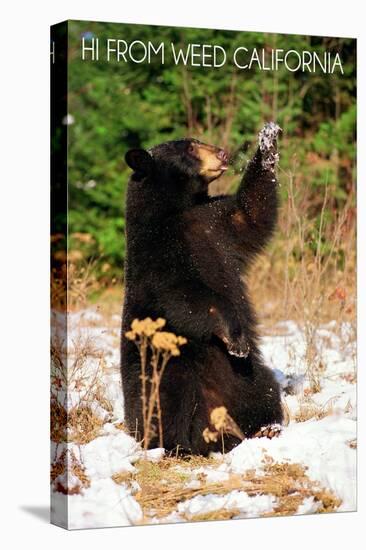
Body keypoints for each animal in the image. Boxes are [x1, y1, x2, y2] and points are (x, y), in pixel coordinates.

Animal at [120, 124, 284, 458]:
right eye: (189, 149)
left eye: (197, 141)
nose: (222, 153)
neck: (180, 209)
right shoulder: (157, 254)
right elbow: (186, 296)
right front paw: (236, 338)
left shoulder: (217, 221)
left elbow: (250, 211)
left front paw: (268, 139)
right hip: (164, 366)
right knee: (167, 401)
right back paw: (176, 446)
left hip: (247, 377)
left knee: (264, 390)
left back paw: (265, 427)